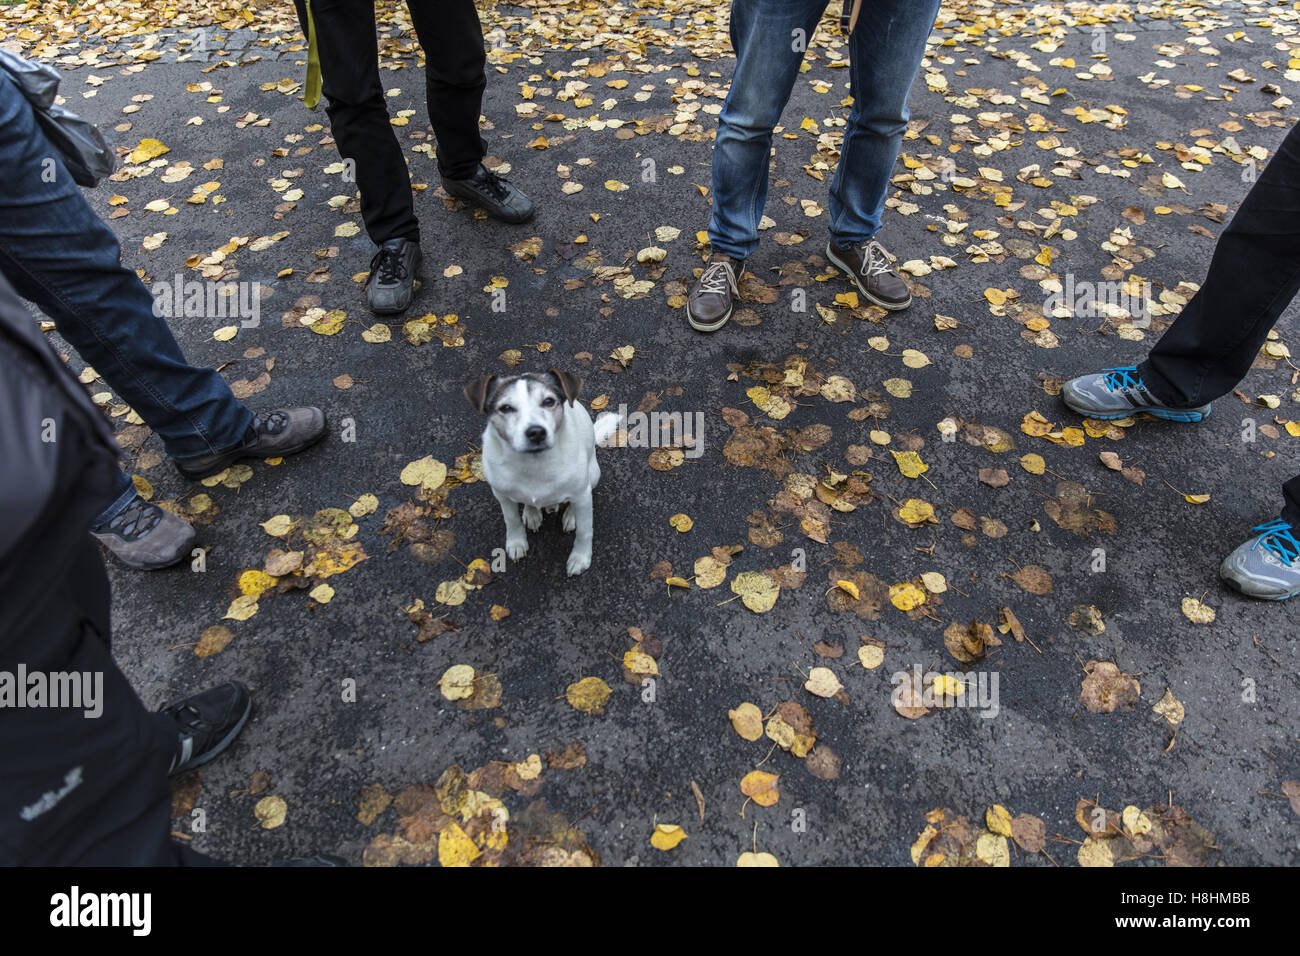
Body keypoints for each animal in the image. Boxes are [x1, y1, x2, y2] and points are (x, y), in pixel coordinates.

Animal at [465, 369, 616, 574]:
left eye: (548, 401)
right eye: (506, 408)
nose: (536, 432)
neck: (534, 464)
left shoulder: (581, 495)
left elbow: (585, 531)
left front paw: (580, 557)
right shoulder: (501, 495)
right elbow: (511, 520)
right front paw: (516, 542)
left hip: (592, 474)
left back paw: (571, 515)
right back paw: (532, 513)